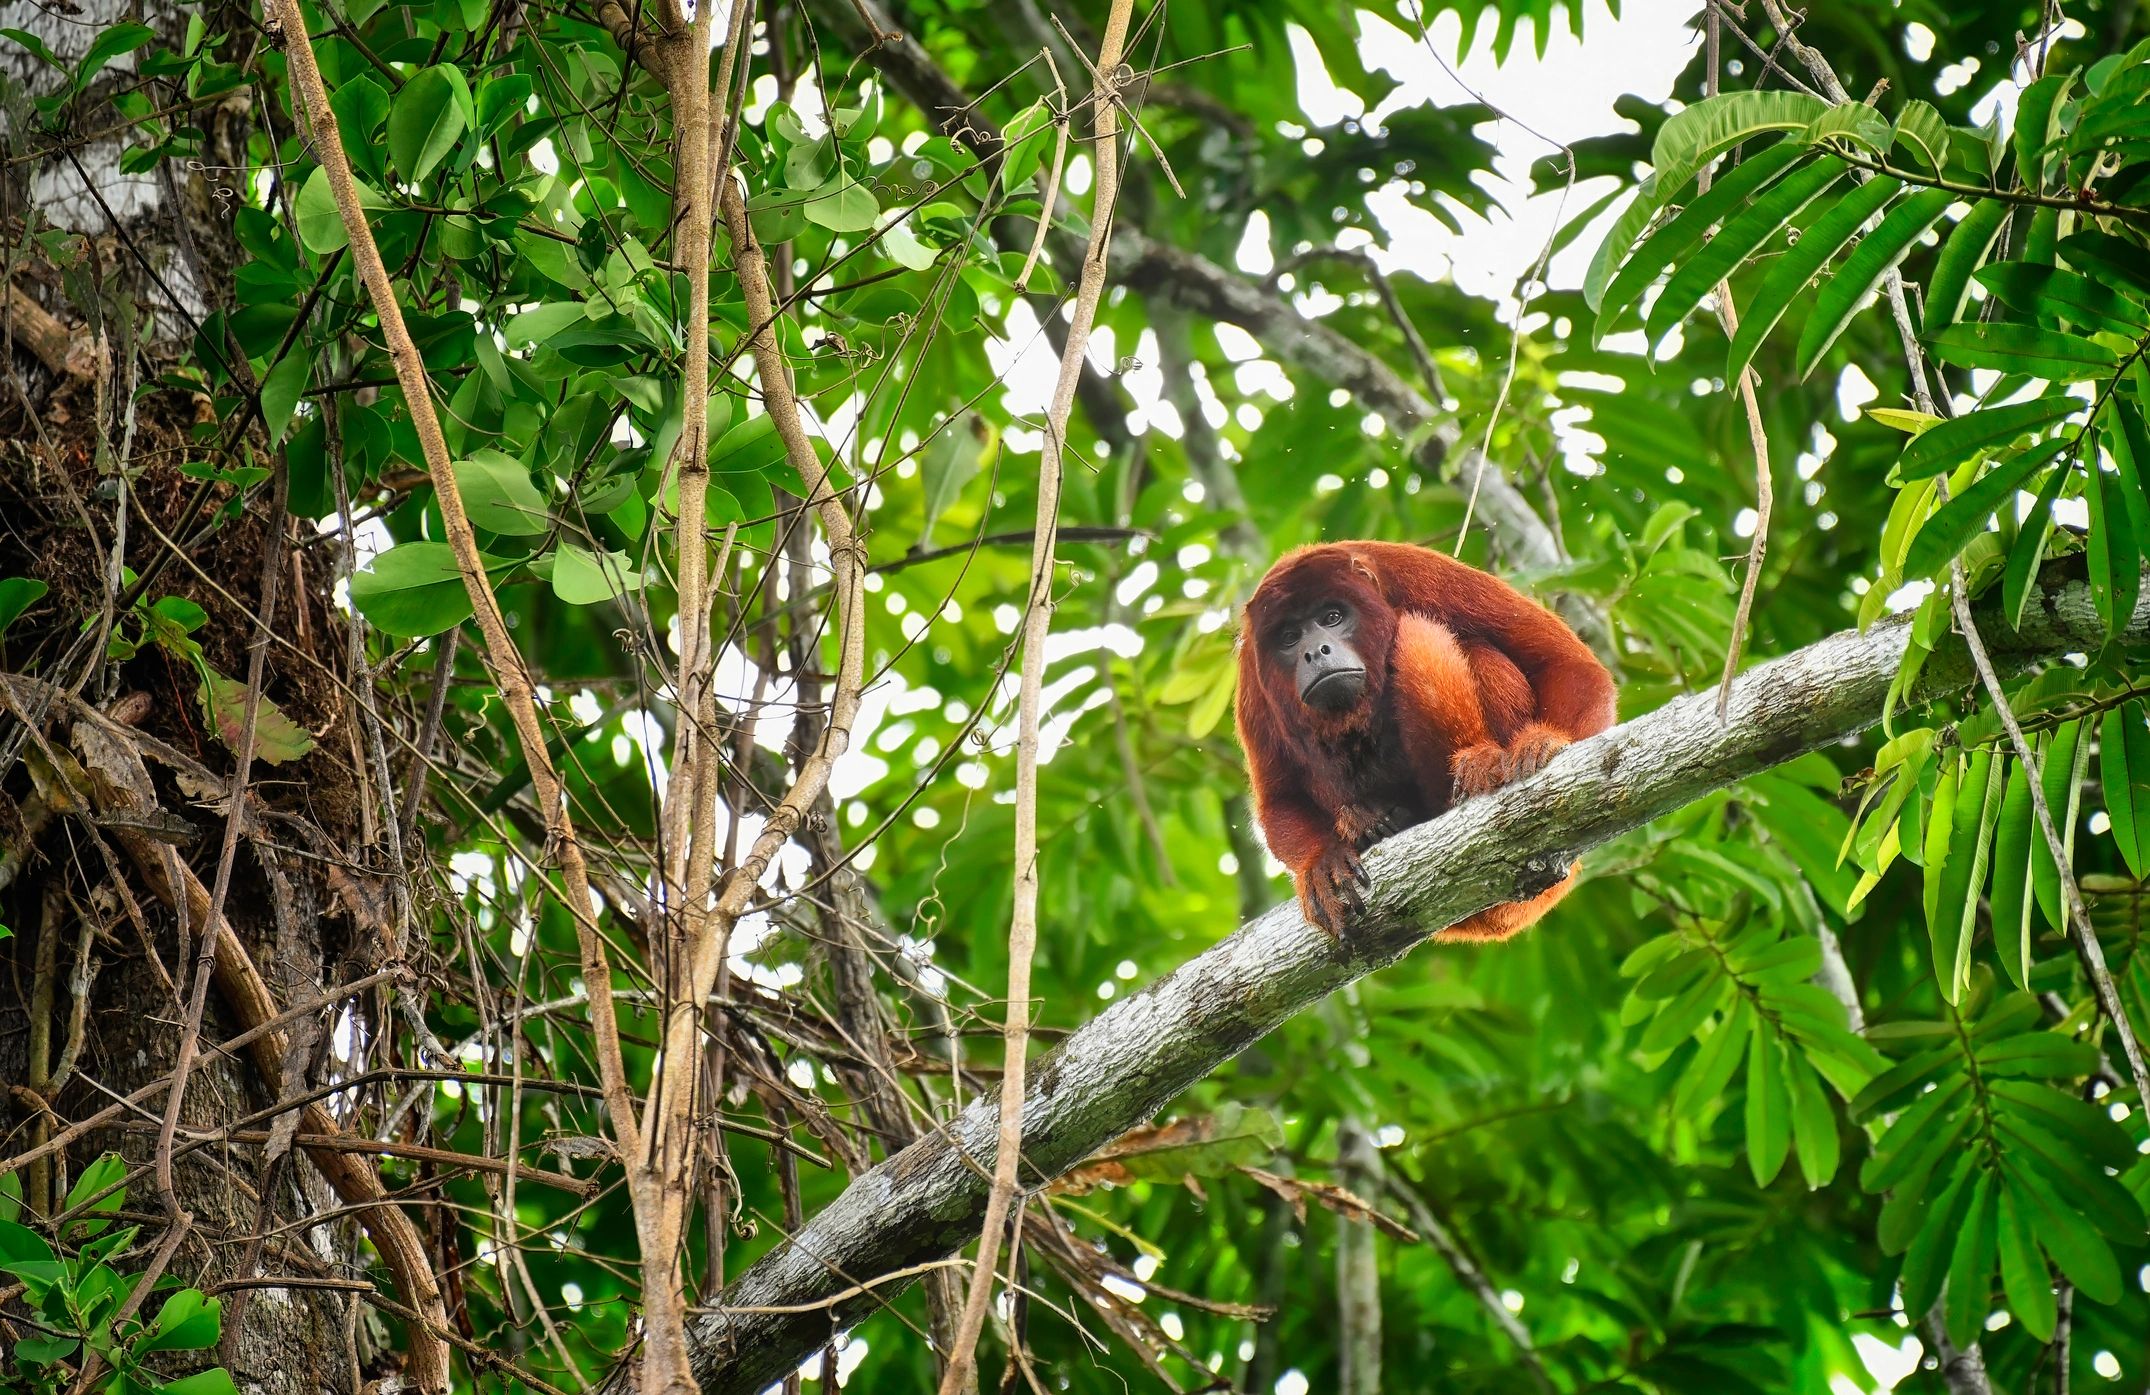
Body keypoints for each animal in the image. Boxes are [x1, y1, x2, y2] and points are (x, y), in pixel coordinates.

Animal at [1233, 540, 1616, 939]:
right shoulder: (1251, 675)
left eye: (1332, 617)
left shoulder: (1418, 573)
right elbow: (1280, 799)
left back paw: (1478, 765)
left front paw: (1544, 741)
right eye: (1289, 638)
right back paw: (1366, 823)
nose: (1314, 651)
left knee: (1466, 646)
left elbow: (1564, 663)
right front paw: (1322, 860)